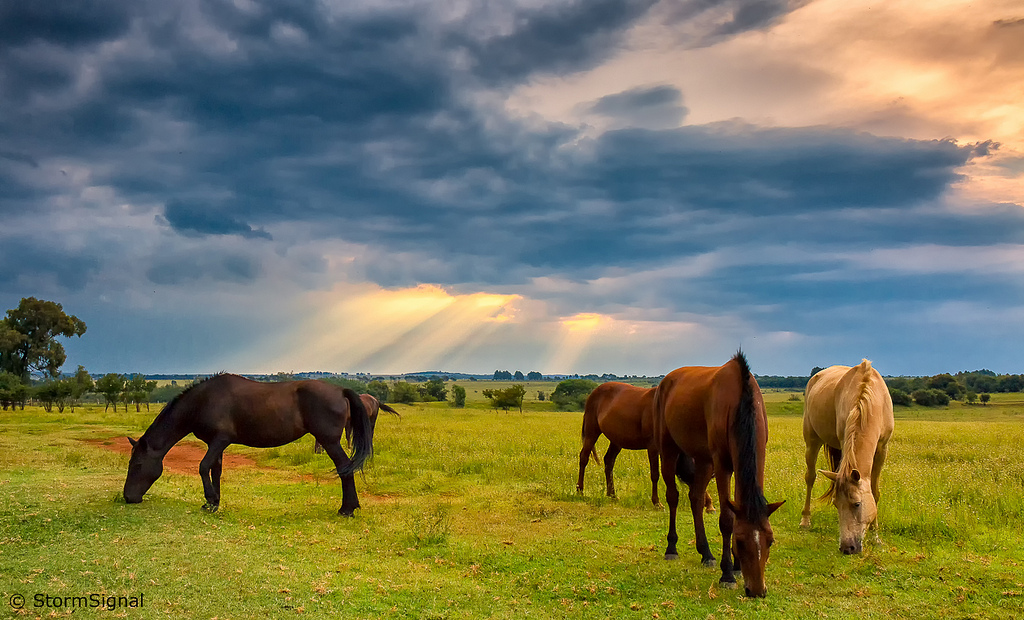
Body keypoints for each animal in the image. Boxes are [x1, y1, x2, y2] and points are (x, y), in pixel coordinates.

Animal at [123, 375, 372, 514]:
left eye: (136, 465)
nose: (127, 497)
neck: (202, 401)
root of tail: (341, 390)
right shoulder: (217, 444)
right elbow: (215, 470)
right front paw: (214, 503)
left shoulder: (220, 440)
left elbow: (203, 467)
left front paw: (210, 499)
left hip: (329, 441)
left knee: (345, 468)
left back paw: (347, 509)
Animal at [577, 381, 712, 512]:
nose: (706, 502)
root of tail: (594, 393)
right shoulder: (653, 447)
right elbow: (655, 474)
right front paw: (657, 503)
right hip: (591, 433)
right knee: (584, 458)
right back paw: (580, 490)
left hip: (616, 440)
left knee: (609, 461)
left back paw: (612, 494)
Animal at [655, 350, 782, 598]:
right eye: (740, 541)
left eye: (770, 541)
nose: (757, 591)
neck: (740, 402)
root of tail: (668, 380)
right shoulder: (723, 465)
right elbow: (727, 520)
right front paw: (728, 574)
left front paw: (736, 566)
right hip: (669, 451)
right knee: (673, 496)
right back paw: (671, 548)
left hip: (704, 461)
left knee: (695, 497)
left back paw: (706, 553)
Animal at [802, 360, 892, 553]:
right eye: (836, 504)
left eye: (857, 504)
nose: (847, 548)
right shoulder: (845, 443)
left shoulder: (882, 449)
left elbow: (874, 492)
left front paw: (875, 536)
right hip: (812, 441)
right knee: (810, 477)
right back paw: (805, 520)